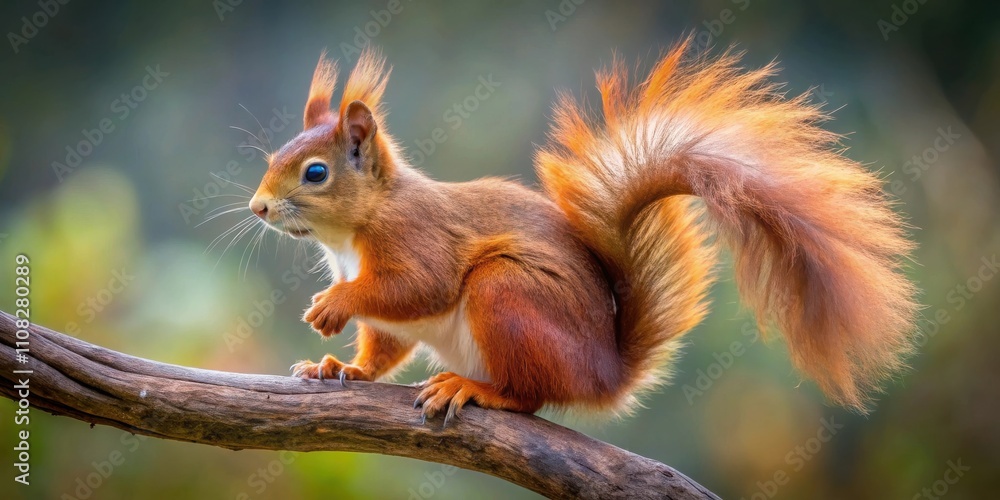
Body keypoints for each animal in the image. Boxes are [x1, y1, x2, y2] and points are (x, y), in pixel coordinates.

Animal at [247, 39, 918, 422]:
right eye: (274, 156)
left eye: (315, 172)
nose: (257, 208)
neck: (354, 231)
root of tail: (603, 374)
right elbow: (384, 344)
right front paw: (340, 368)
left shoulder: (416, 239)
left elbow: (417, 288)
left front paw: (333, 305)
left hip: (507, 294)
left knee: (529, 395)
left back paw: (475, 389)